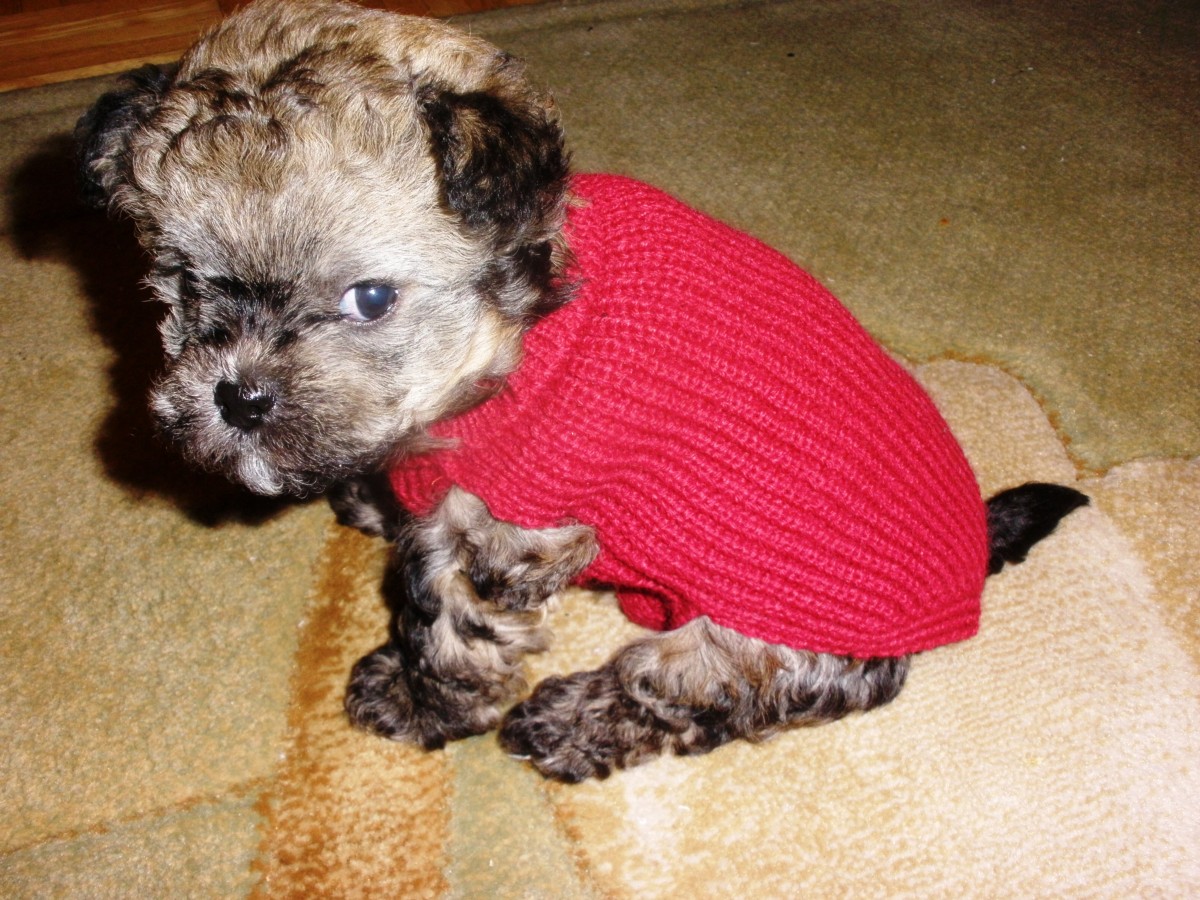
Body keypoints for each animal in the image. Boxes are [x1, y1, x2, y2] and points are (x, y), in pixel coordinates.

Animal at [77, 0, 1087, 782]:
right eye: (184, 282)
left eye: (369, 299)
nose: (239, 398)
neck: (523, 335)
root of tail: (965, 582)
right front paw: (374, 494)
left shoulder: (508, 530)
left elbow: (448, 624)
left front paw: (423, 700)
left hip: (752, 642)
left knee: (684, 692)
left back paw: (567, 724)